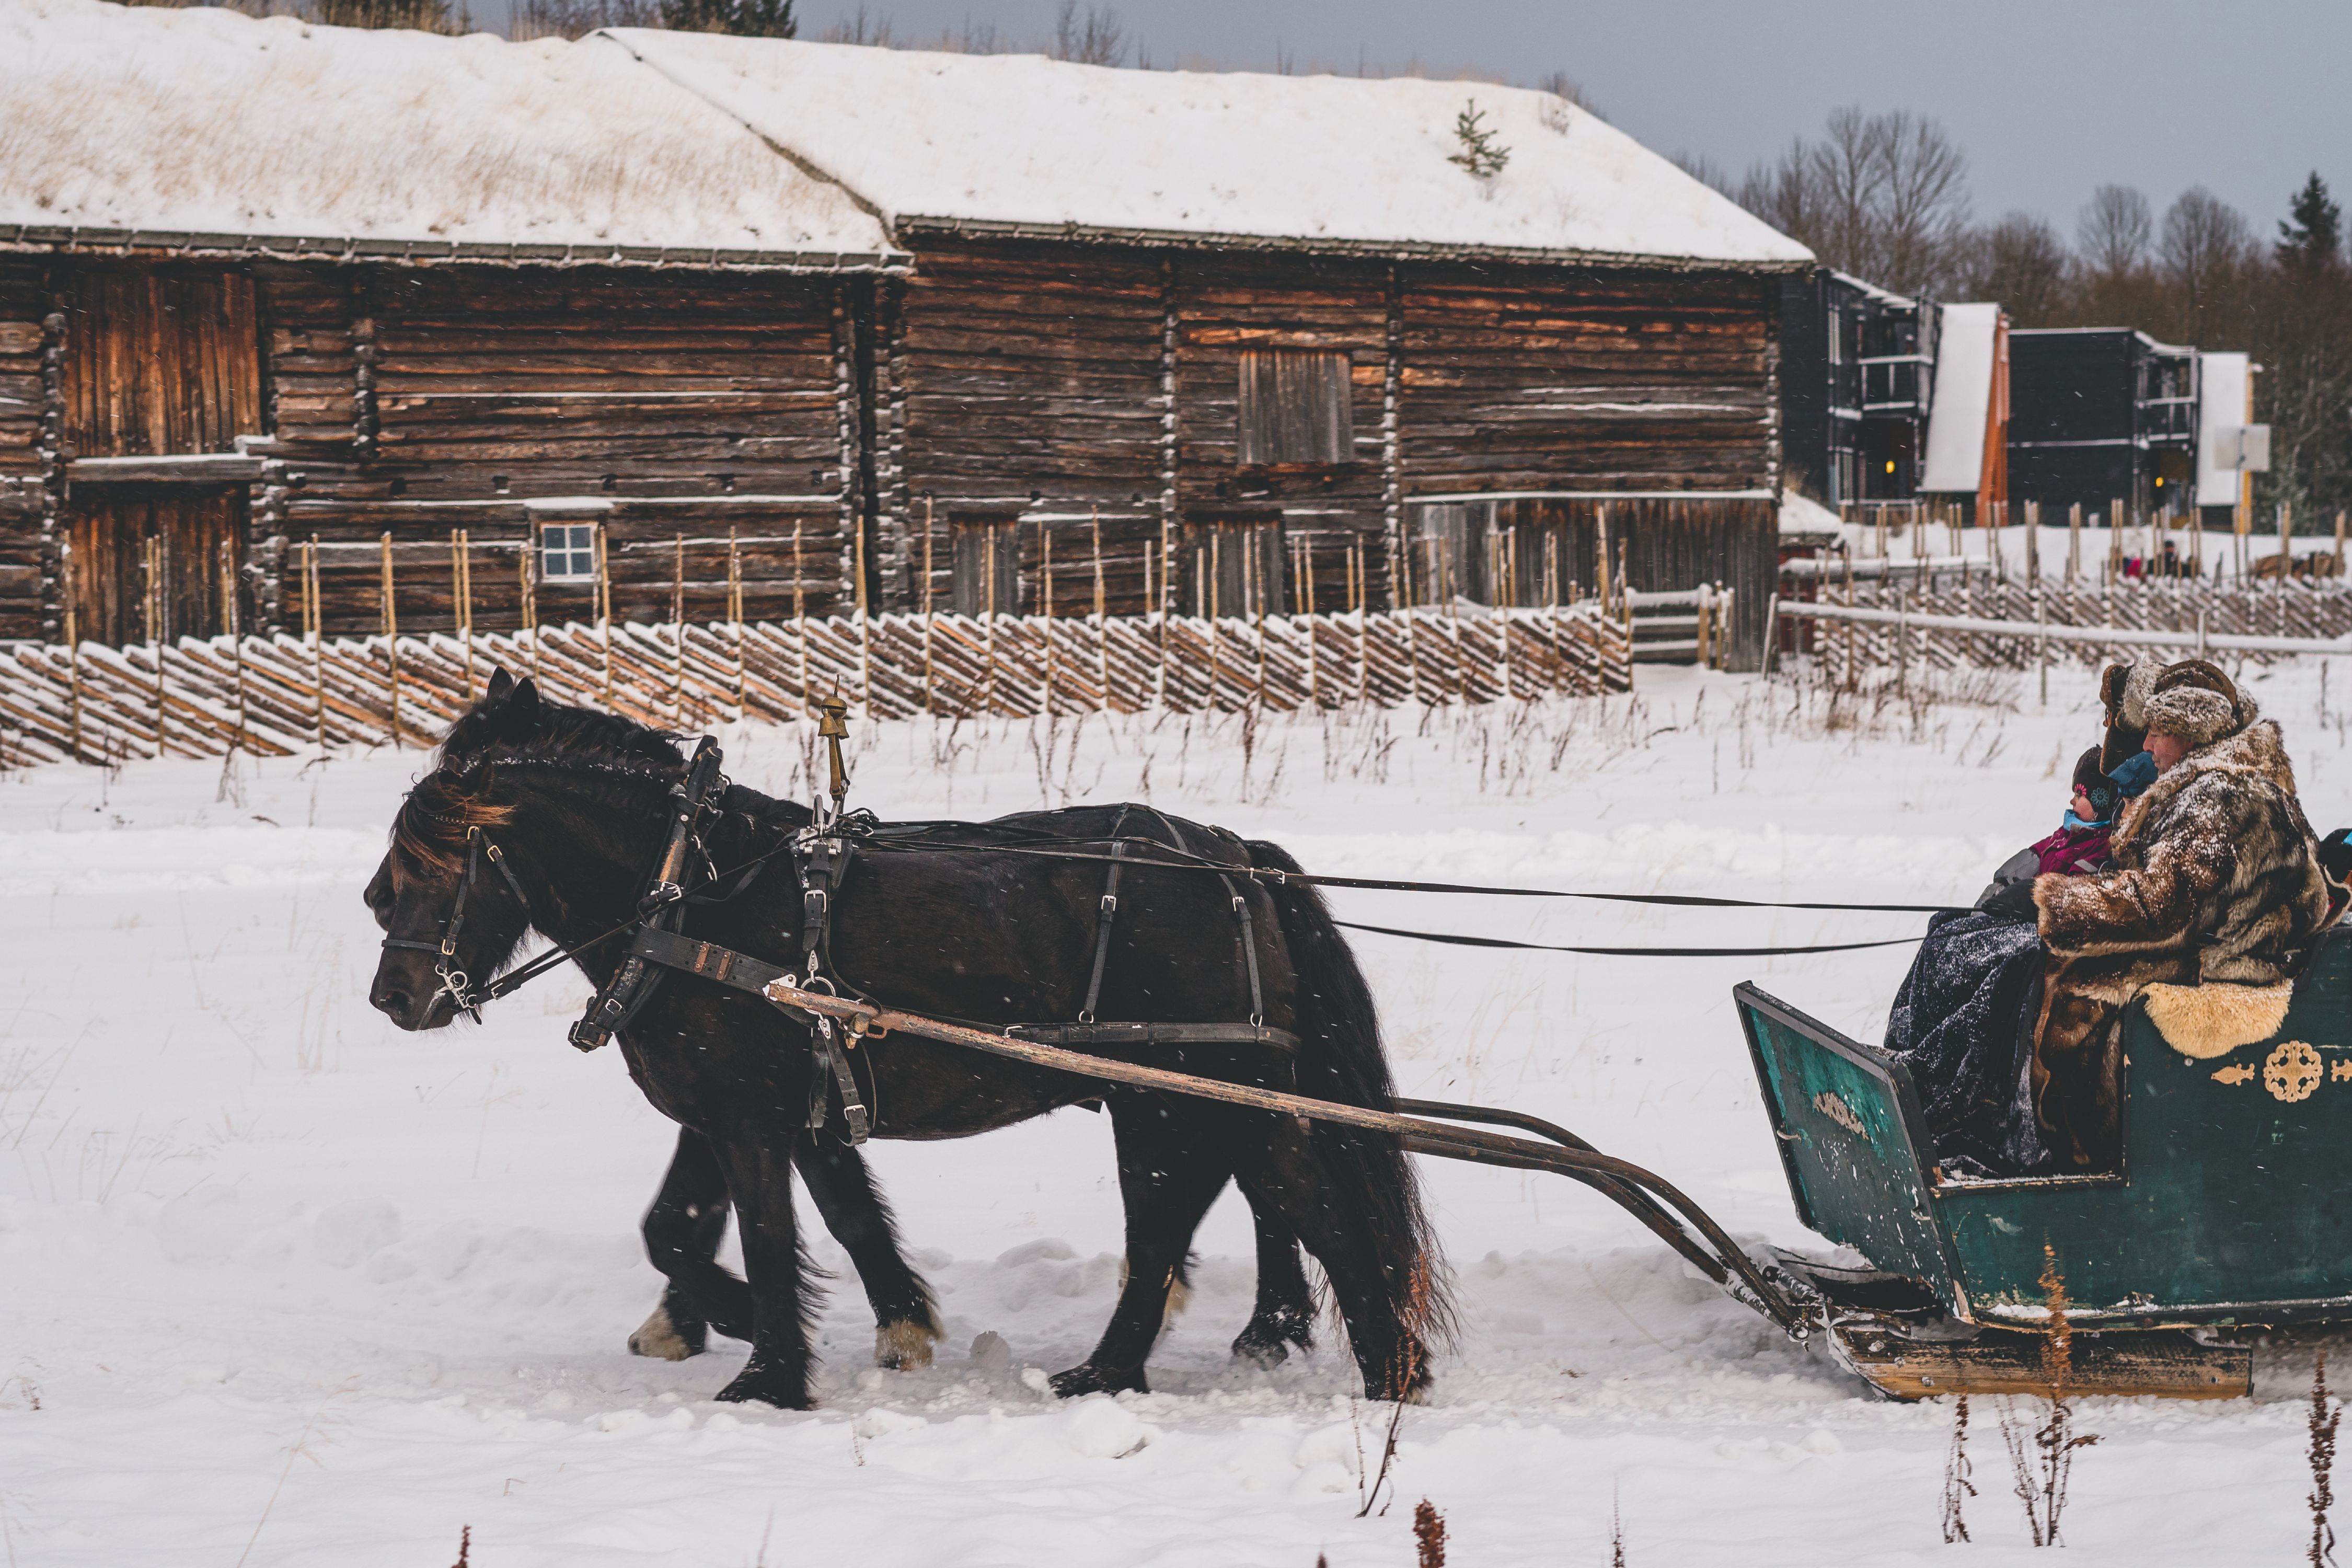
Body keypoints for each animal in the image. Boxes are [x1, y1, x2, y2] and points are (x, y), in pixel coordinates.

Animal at [366, 673, 1445, 1408]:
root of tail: (1237, 862)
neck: (690, 895)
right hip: (1194, 1099)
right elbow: (787, 1219)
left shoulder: (744, 1117)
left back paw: (1328, 1368)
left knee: (1248, 1216)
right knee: (1238, 1211)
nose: (392, 996)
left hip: (1185, 1094)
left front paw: (764, 1365)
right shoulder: (775, 1110)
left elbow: (756, 1234)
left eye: (436, 860)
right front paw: (888, 1326)